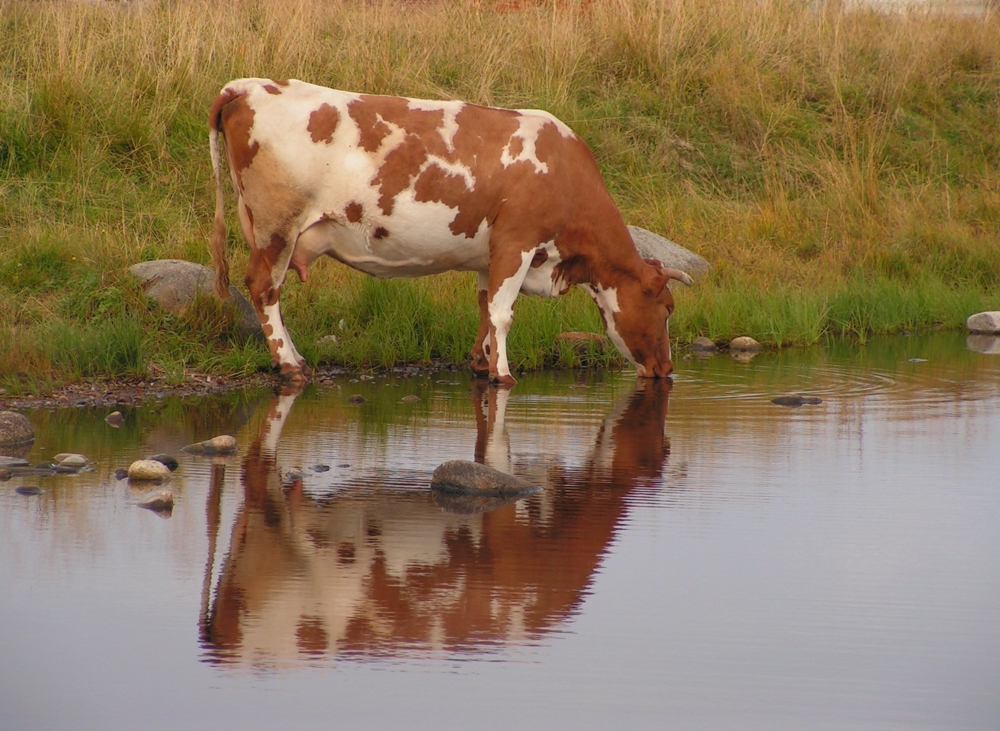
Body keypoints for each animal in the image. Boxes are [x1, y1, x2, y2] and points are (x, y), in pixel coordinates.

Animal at [209, 78, 696, 388]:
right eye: (667, 308)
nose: (667, 368)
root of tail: (248, 85)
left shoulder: (489, 253)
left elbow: (484, 306)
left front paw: (481, 363)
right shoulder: (517, 242)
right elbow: (503, 312)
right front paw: (503, 374)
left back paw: (296, 358)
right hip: (277, 225)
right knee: (264, 289)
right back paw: (289, 365)